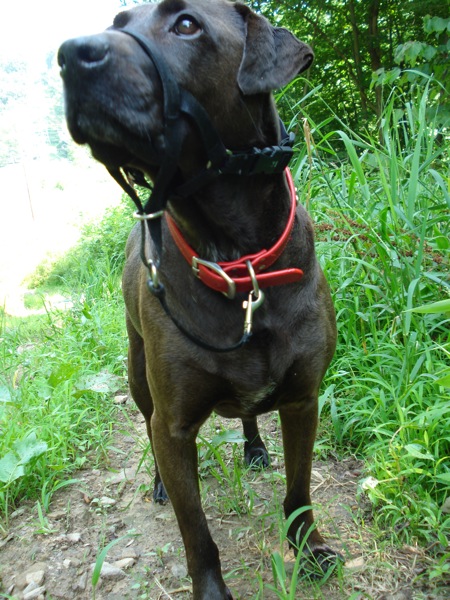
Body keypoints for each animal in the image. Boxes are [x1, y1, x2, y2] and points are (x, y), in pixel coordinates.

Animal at [58, 1, 340, 597]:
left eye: (186, 24)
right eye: (116, 23)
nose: (70, 54)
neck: (237, 261)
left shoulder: (303, 400)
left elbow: (299, 492)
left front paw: (309, 550)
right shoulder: (175, 424)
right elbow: (196, 533)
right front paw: (210, 588)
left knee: (249, 418)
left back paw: (254, 447)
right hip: (138, 373)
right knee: (148, 428)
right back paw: (161, 482)